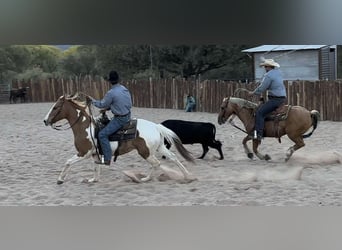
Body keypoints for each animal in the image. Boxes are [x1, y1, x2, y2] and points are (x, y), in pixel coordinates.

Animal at [42, 94, 195, 184]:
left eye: (55, 107)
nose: (45, 120)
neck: (85, 127)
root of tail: (156, 126)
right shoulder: (94, 154)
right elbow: (96, 168)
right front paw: (93, 180)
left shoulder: (83, 153)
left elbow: (68, 162)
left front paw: (60, 179)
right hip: (159, 148)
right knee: (173, 158)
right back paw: (187, 176)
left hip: (145, 152)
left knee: (156, 163)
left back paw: (145, 178)